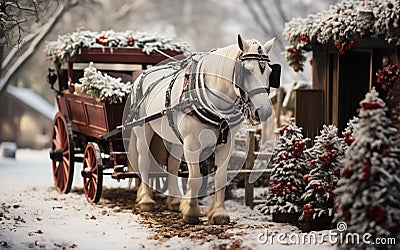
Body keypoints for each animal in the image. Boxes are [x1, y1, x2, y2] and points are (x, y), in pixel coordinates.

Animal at [126, 35, 280, 225]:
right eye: (247, 71)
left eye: (270, 73)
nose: (264, 111)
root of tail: (142, 76)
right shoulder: (192, 144)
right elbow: (195, 180)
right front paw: (191, 212)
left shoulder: (225, 144)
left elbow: (220, 178)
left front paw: (218, 213)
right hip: (143, 130)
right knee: (144, 161)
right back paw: (146, 199)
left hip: (174, 137)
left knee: (173, 164)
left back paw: (174, 201)